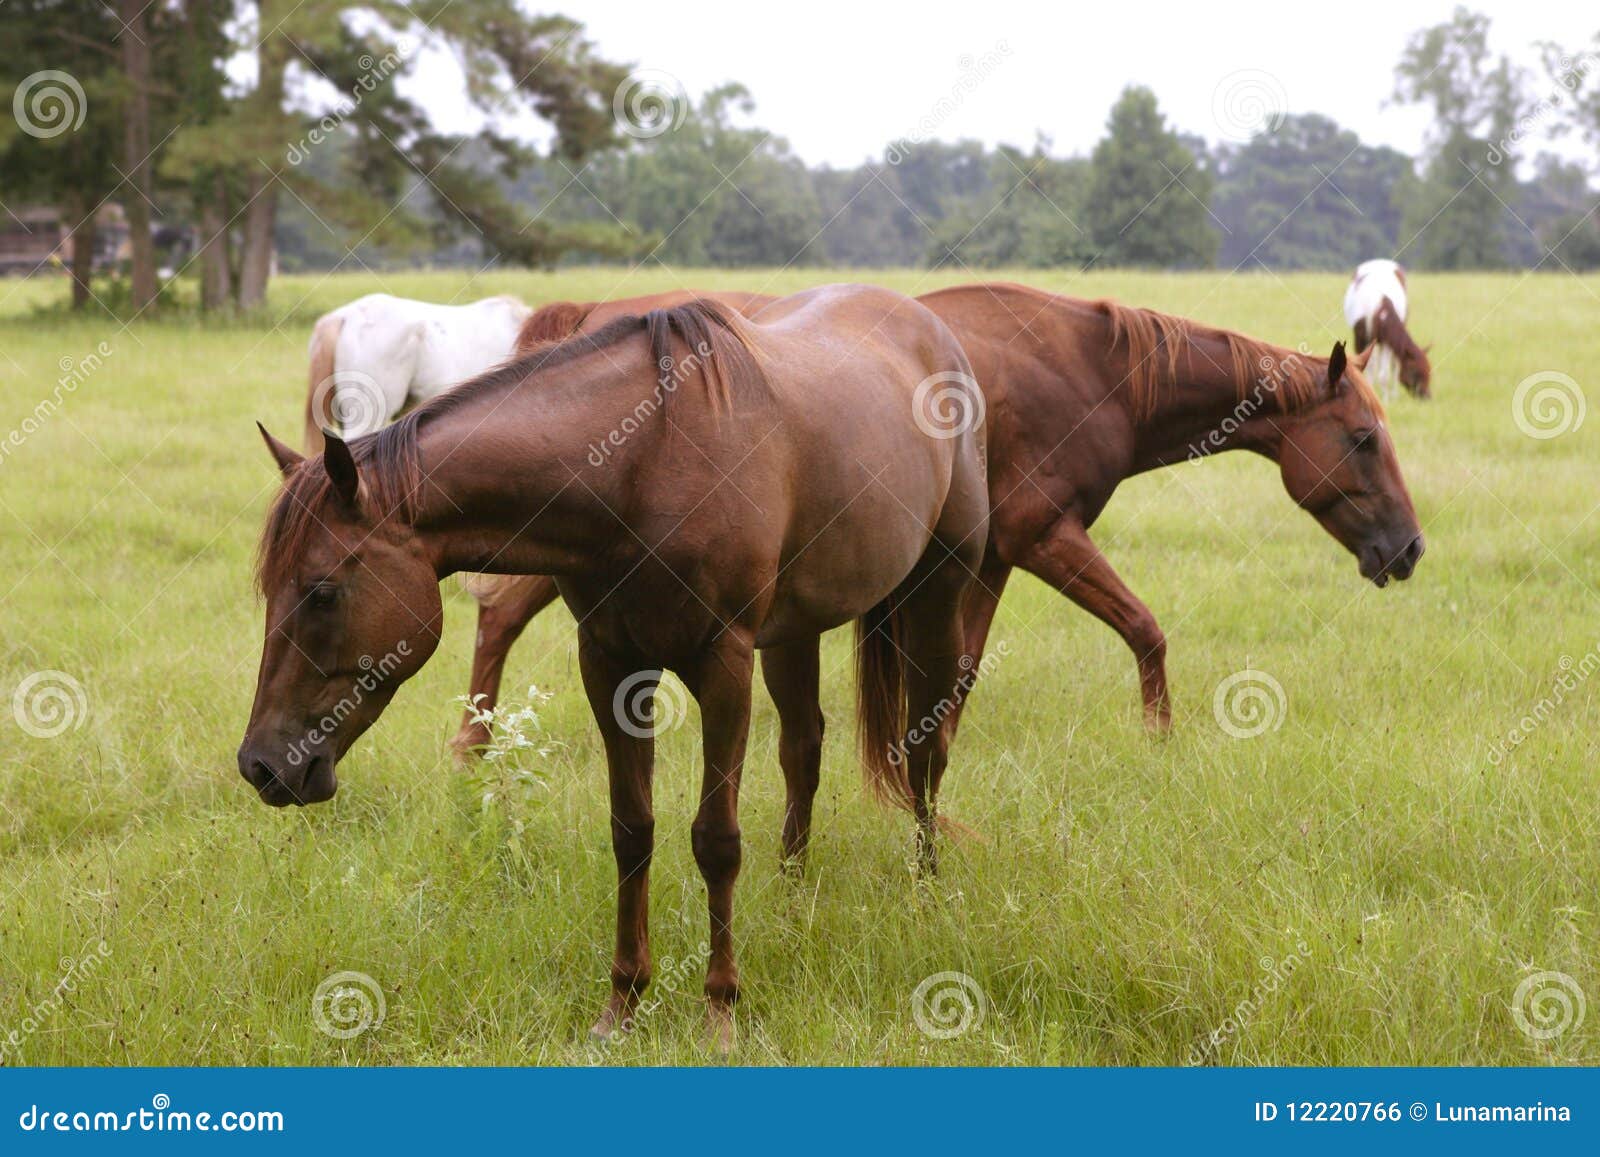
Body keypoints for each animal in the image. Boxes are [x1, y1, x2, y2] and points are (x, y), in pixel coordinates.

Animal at [450, 284, 1424, 773]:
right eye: (1363, 438)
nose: (1409, 549)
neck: (1091, 368)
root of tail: (586, 318)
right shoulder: (1043, 539)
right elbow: (1145, 630)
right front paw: (1159, 740)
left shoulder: (985, 563)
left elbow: (958, 677)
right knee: (497, 615)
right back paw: (469, 753)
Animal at [1343, 260, 1430, 398]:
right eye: (1415, 371)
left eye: (1428, 370)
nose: (1427, 396)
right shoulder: (1361, 337)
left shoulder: (1386, 342)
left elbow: (1384, 374)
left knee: (1394, 363)